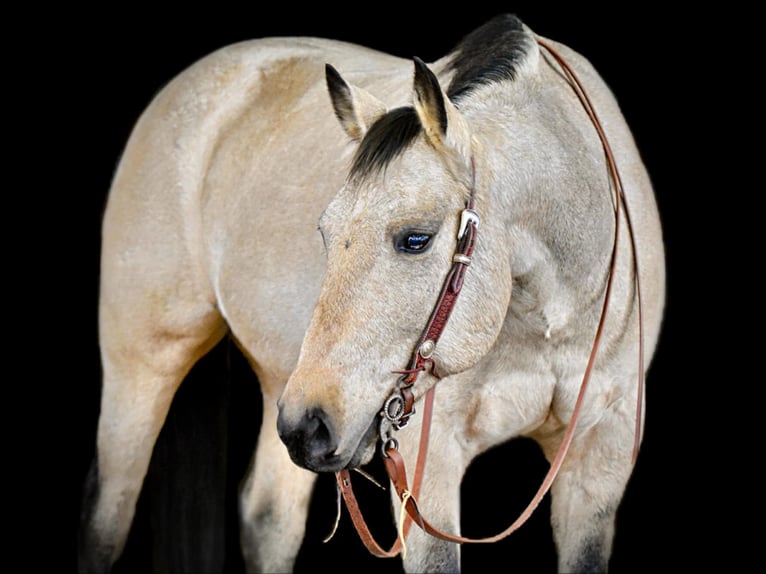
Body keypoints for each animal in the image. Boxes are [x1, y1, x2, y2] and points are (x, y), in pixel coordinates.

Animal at [78, 13, 664, 574]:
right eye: (324, 231)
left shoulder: (601, 458)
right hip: (149, 371)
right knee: (105, 520)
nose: (309, 424)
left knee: (268, 519)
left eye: (415, 239)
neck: (554, 315)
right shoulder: (432, 462)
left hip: (280, 383)